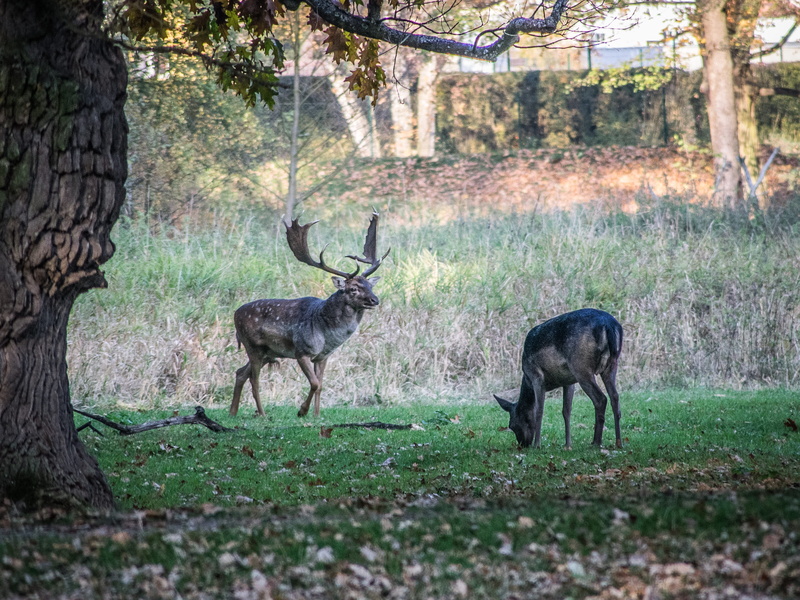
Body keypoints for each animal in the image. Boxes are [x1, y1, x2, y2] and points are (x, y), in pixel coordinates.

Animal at [229, 212, 389, 419]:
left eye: (370, 285)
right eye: (353, 288)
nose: (374, 300)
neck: (327, 334)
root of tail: (234, 314)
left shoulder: (323, 356)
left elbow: (320, 385)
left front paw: (316, 415)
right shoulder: (301, 350)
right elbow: (314, 383)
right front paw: (302, 411)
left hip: (267, 352)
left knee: (240, 372)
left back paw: (232, 412)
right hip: (253, 346)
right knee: (254, 380)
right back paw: (262, 414)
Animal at [495, 308, 623, 449]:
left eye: (512, 425)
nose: (523, 444)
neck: (527, 379)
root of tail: (608, 325)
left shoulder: (536, 376)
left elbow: (539, 410)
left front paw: (537, 445)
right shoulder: (568, 381)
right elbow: (566, 411)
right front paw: (567, 445)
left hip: (581, 366)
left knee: (601, 399)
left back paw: (596, 442)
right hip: (611, 364)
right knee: (615, 397)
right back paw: (618, 442)